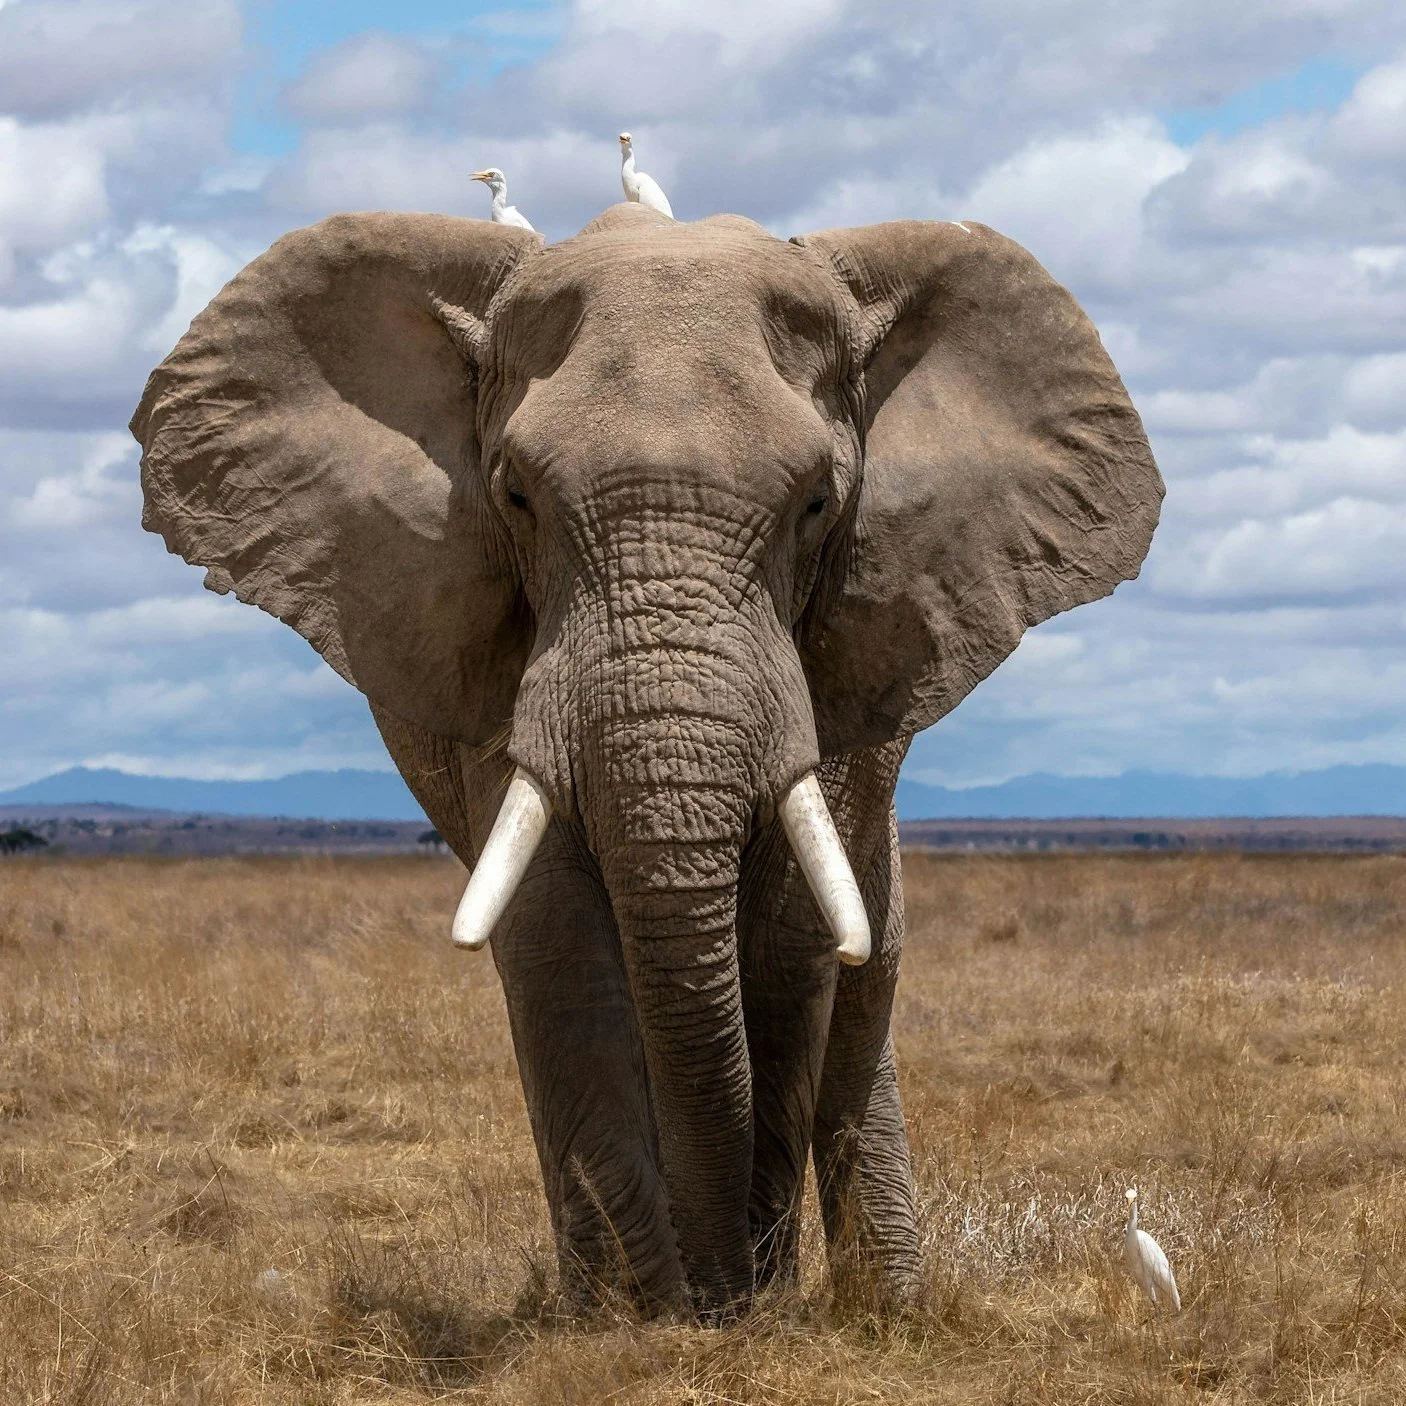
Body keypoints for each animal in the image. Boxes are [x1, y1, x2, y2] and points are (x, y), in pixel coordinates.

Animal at [130, 202, 1162, 1317]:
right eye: (516, 497)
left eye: (816, 503)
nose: (720, 1295)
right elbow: (555, 937)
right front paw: (636, 1320)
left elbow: (791, 942)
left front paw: (745, 1308)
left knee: (865, 972)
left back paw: (887, 1305)